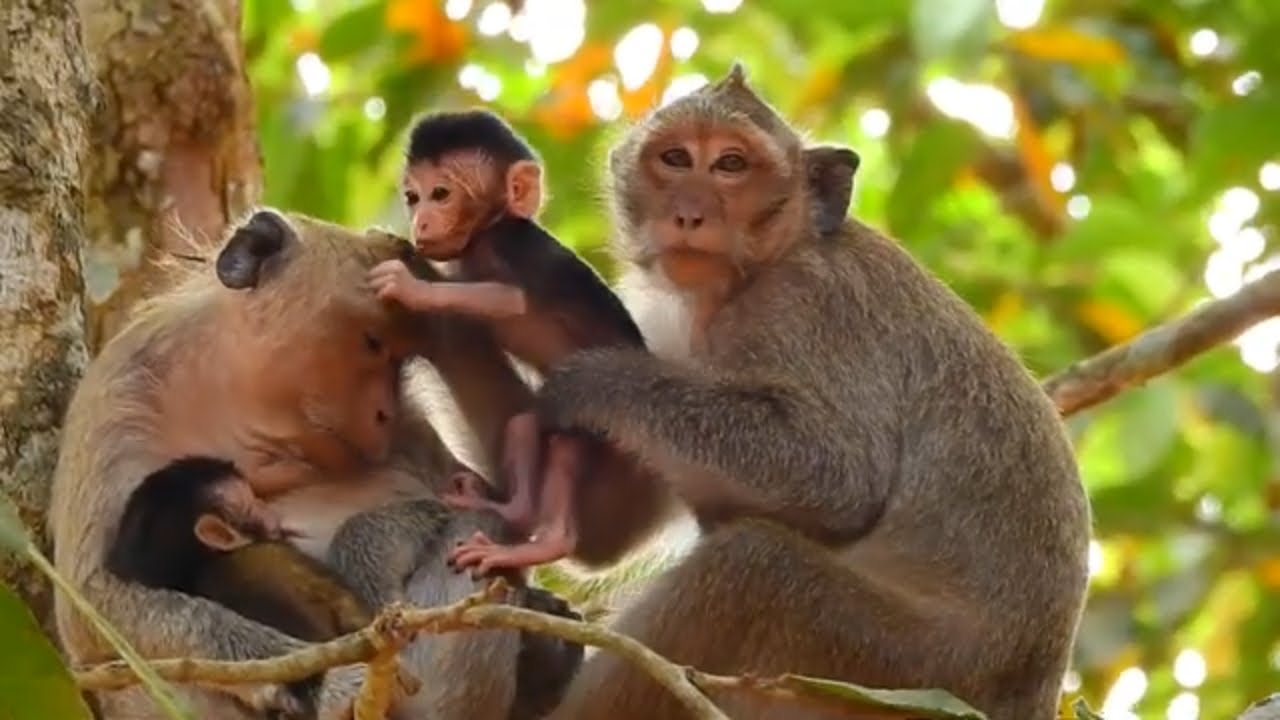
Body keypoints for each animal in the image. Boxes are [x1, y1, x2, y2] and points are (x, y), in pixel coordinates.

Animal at [47, 209, 582, 720]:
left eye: (400, 362)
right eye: (372, 343)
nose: (384, 413)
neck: (245, 417)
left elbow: (512, 507)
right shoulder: (119, 400)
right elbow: (96, 606)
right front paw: (329, 684)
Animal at [520, 63, 1092, 720]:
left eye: (731, 165)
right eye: (675, 158)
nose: (689, 213)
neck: (752, 275)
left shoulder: (810, 305)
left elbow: (839, 475)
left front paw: (592, 381)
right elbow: (601, 539)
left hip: (886, 665)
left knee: (756, 566)